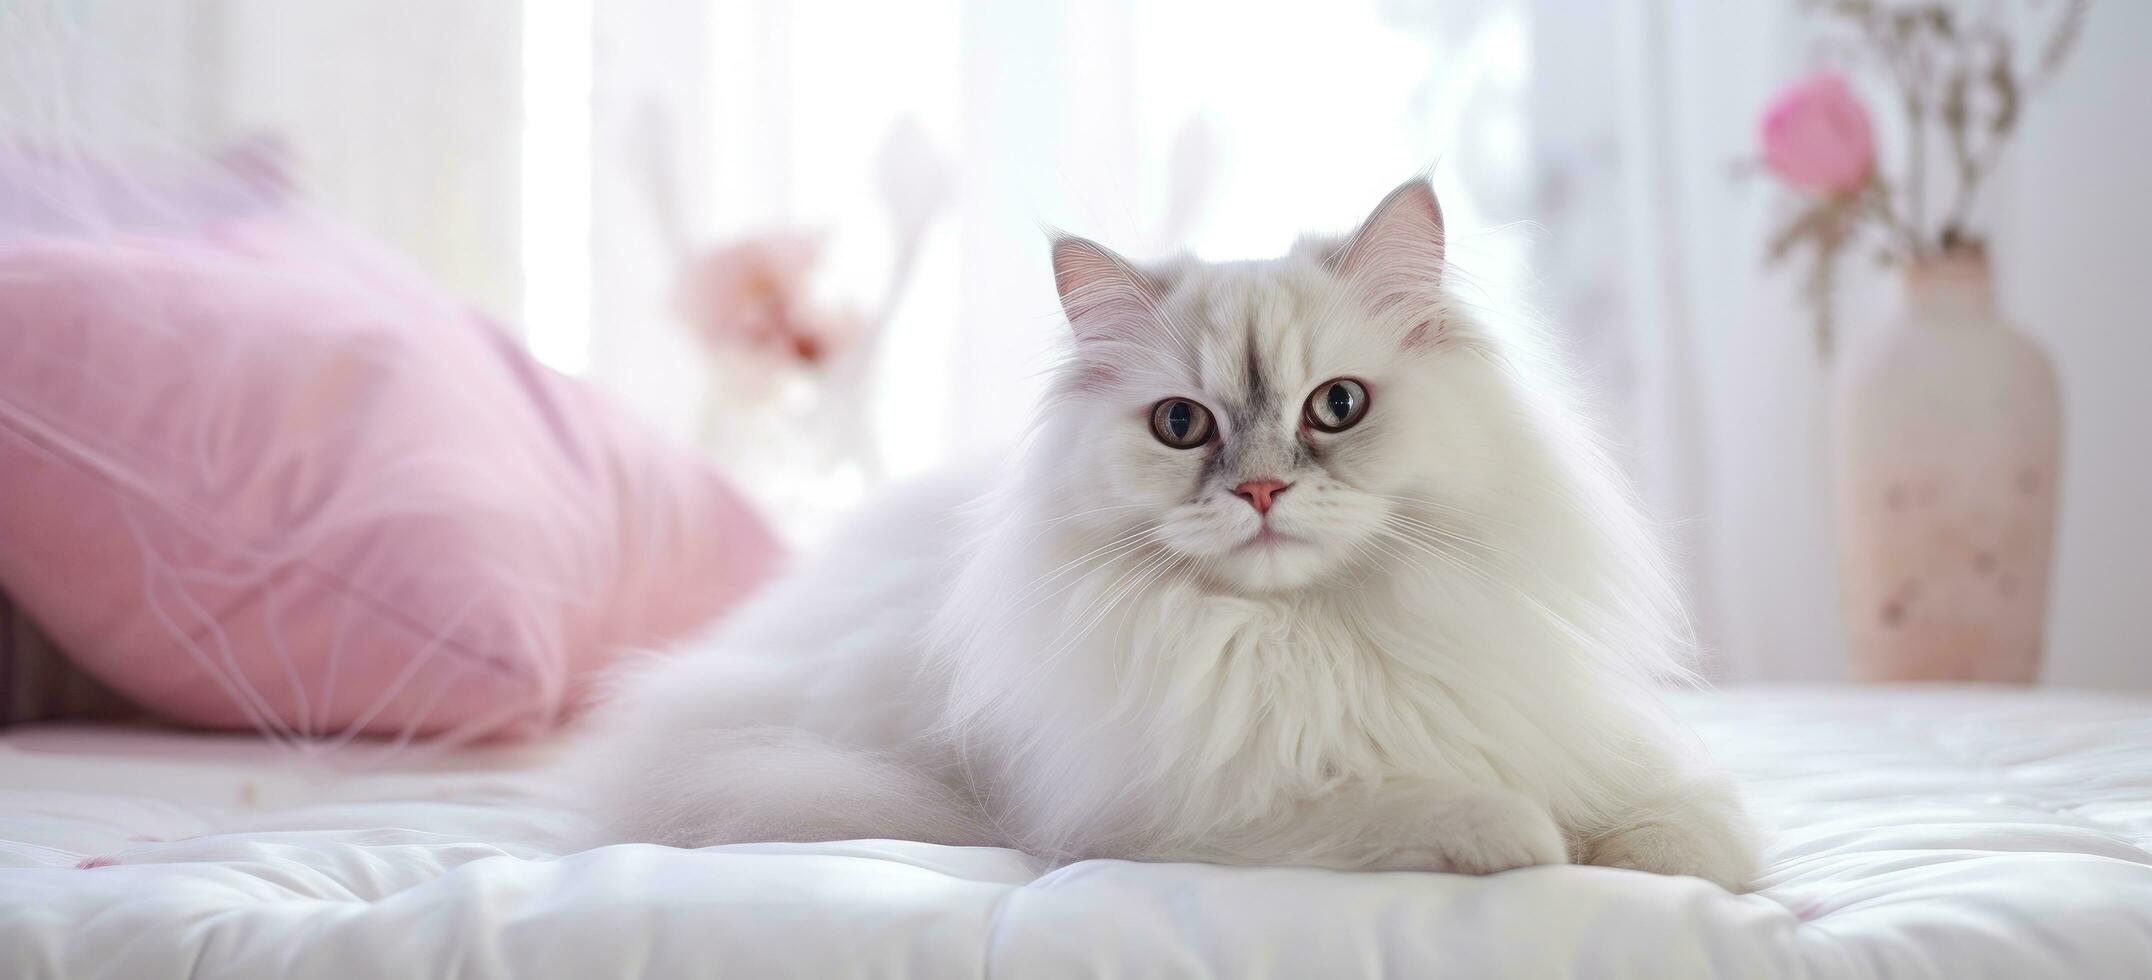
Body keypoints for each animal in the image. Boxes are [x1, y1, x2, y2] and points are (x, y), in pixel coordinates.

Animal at [581, 176, 1756, 891]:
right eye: (1182, 425)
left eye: (1337, 406)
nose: (1264, 490)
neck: (1311, 642)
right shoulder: (1183, 818)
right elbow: (1418, 804)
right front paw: (1528, 840)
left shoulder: (1558, 723)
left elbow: (1691, 817)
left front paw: (1673, 859)